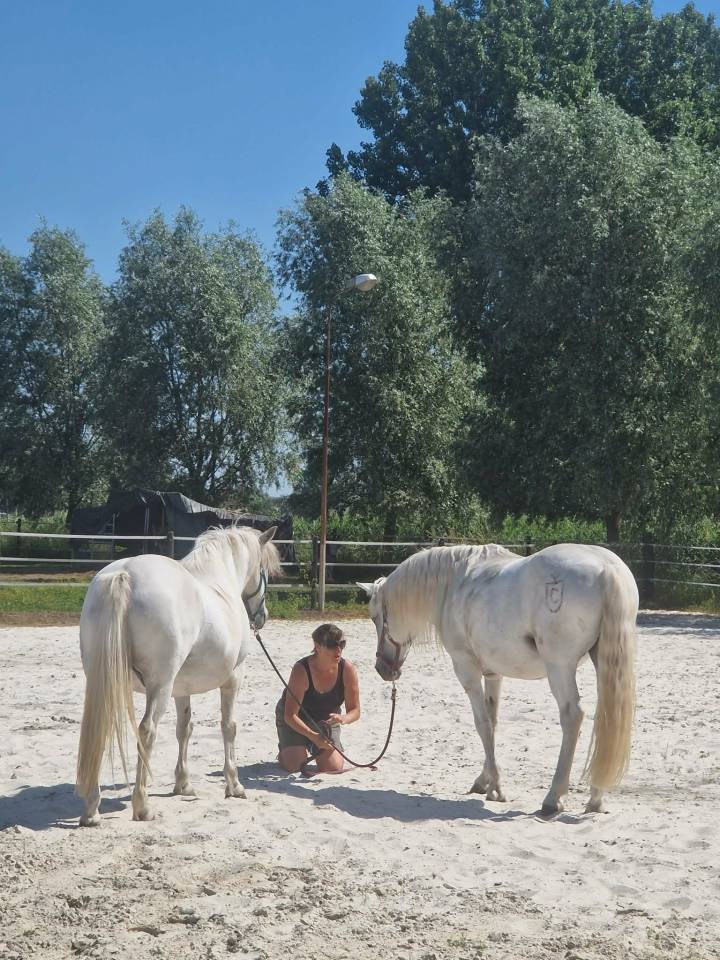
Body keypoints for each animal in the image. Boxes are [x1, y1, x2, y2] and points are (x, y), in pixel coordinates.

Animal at [76, 524, 281, 826]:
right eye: (263, 570)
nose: (262, 616)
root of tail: (125, 574)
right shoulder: (233, 679)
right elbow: (228, 727)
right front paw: (234, 785)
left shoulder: (181, 689)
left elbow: (184, 729)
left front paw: (183, 784)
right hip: (159, 686)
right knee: (147, 730)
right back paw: (142, 806)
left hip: (103, 683)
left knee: (100, 732)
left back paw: (92, 809)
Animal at [358, 542, 638, 815]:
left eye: (374, 617)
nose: (383, 669)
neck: (453, 583)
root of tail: (606, 569)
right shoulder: (493, 674)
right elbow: (492, 723)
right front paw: (485, 782)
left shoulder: (467, 670)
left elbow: (482, 724)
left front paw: (496, 788)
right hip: (603, 663)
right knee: (607, 717)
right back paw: (596, 799)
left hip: (560, 667)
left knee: (572, 716)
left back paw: (553, 798)